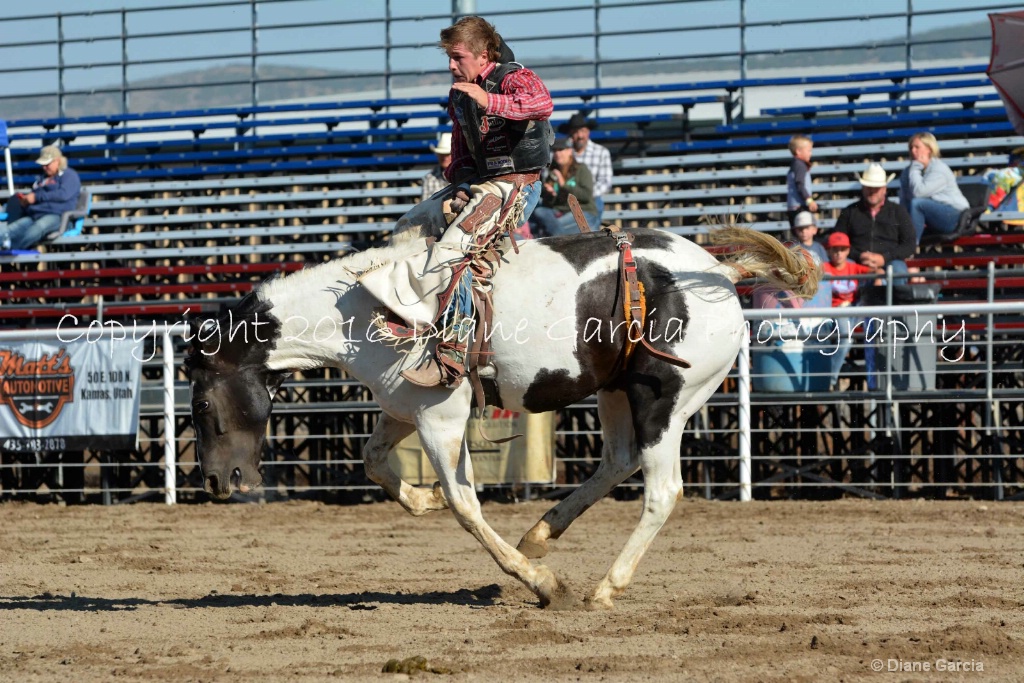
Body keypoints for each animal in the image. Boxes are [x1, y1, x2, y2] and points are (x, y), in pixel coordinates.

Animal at [188, 227, 819, 610]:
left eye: (199, 403)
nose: (216, 481)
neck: (360, 310)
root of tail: (719, 275)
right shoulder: (404, 404)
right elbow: (374, 462)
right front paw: (424, 499)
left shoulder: (440, 416)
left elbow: (466, 505)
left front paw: (543, 584)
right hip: (616, 391)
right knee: (617, 460)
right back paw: (541, 534)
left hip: (663, 398)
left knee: (662, 491)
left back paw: (603, 588)